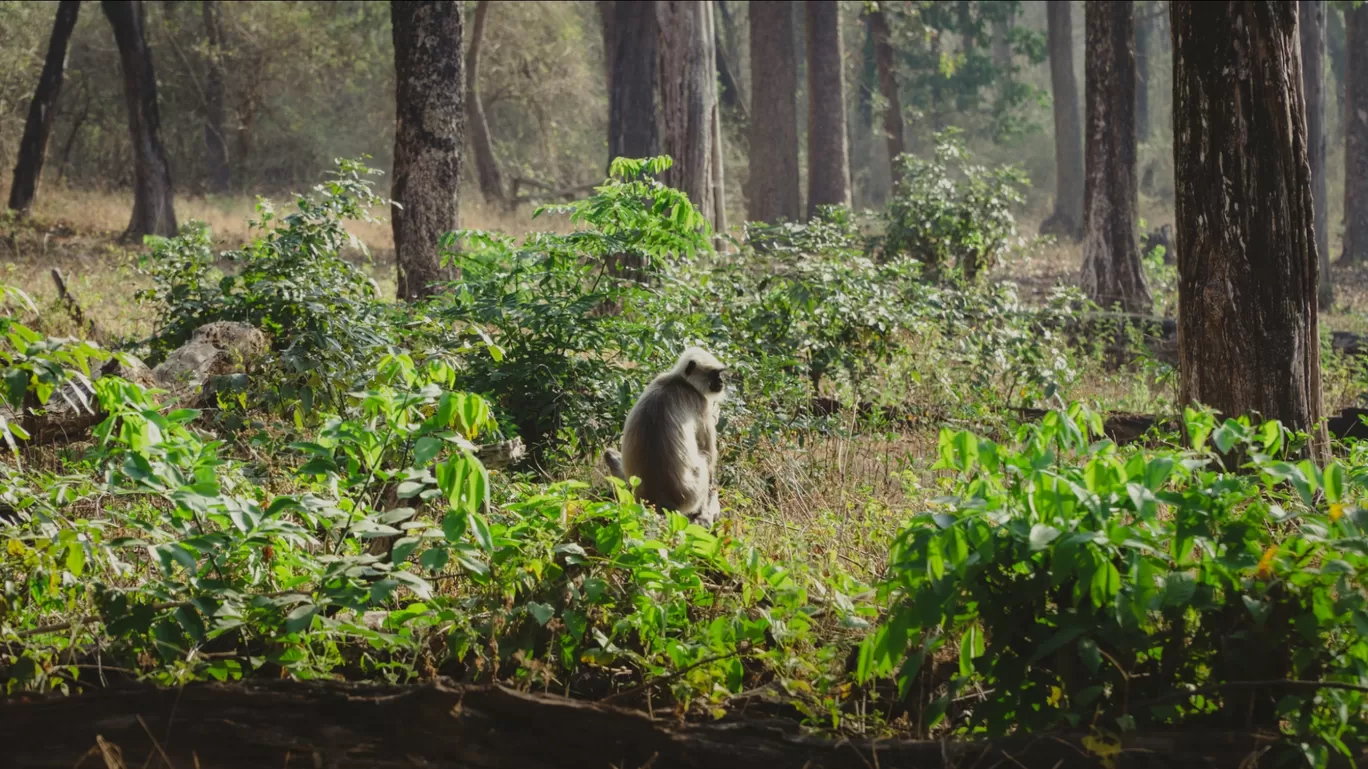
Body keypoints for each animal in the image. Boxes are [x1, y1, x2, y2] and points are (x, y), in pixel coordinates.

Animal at [601, 344, 727, 522]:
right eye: (714, 374)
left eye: (719, 374)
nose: (721, 382)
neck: (681, 381)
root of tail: (659, 501)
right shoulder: (701, 403)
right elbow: (709, 455)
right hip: (691, 494)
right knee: (704, 460)